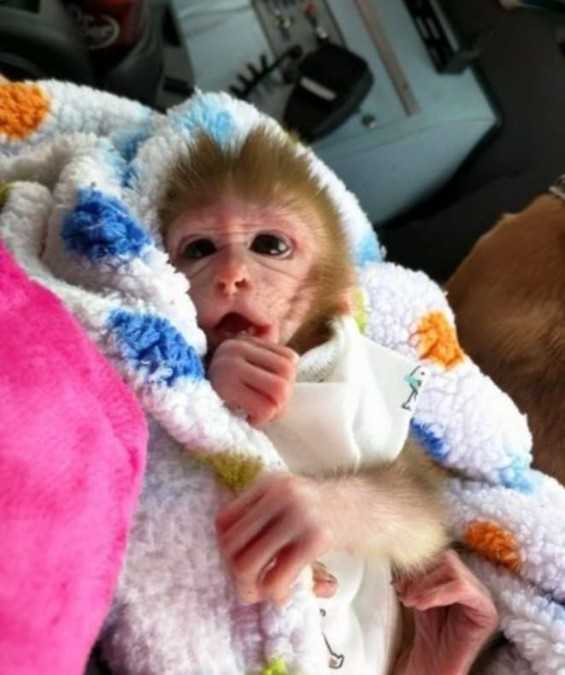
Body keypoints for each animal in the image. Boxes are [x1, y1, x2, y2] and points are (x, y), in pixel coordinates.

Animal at [159, 126, 451, 675]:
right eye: (200, 248)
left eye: (269, 245)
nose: (231, 276)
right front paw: (233, 367)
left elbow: (421, 508)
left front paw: (306, 511)